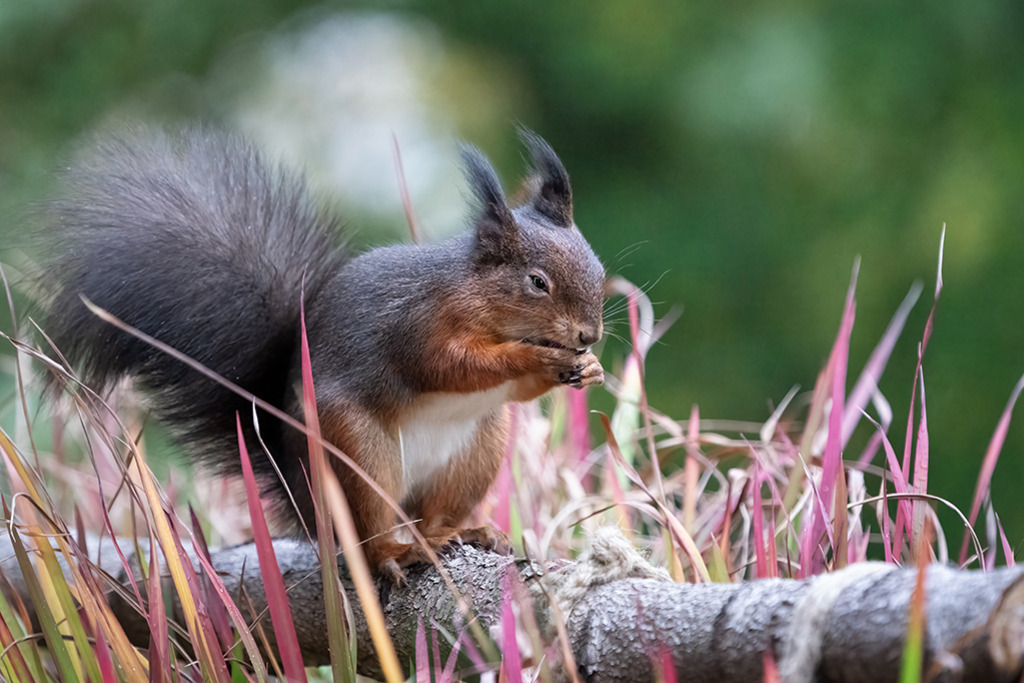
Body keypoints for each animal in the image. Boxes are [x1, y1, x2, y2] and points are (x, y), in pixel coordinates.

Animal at [40, 125, 605, 582]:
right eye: (537, 282)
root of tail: (301, 497)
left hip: (477, 449)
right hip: (352, 451)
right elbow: (453, 366)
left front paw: (588, 370)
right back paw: (394, 554)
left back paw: (463, 532)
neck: (476, 297)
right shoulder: (417, 328)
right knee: (367, 530)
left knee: (433, 515)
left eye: (598, 269)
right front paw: (537, 358)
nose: (589, 335)